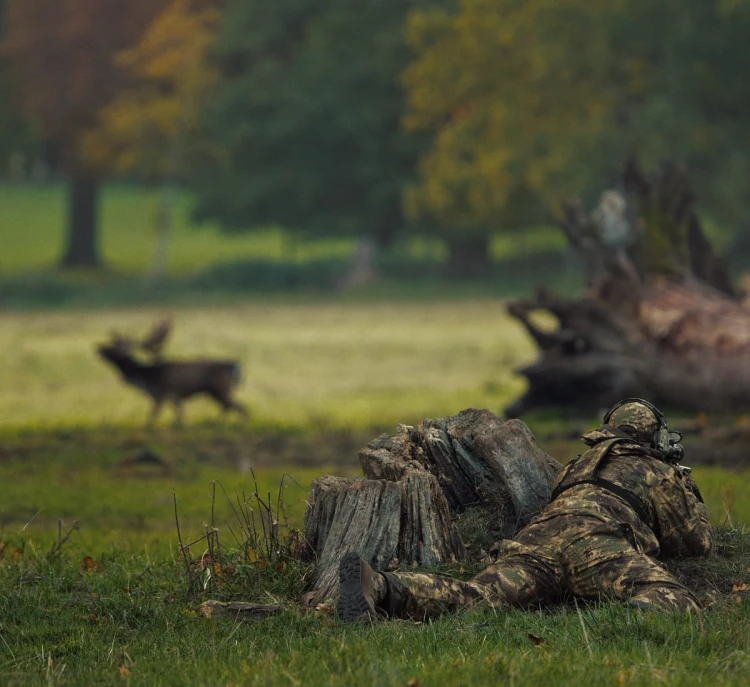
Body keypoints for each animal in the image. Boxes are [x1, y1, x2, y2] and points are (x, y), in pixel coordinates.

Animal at [96, 321, 247, 428]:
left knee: (238, 407)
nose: (98, 347)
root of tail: (236, 366)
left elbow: (152, 417)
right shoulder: (175, 397)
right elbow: (179, 417)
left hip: (220, 388)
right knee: (232, 407)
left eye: (115, 347)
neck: (146, 379)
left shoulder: (162, 393)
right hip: (216, 391)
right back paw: (216, 422)